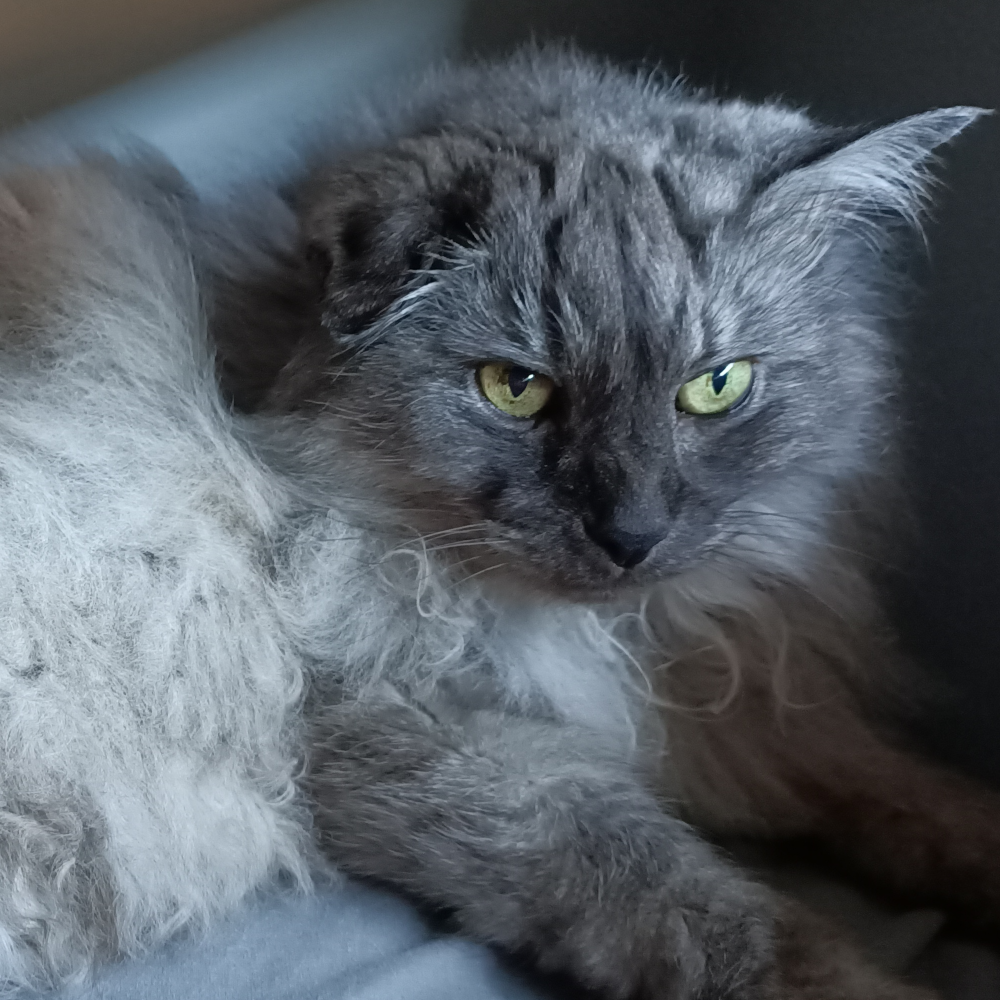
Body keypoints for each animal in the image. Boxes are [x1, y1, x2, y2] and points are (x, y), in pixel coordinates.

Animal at [0, 47, 996, 1000]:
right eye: (515, 389)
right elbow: (723, 918)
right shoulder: (456, 745)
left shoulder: (744, 705)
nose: (631, 536)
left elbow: (890, 785)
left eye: (717, 386)